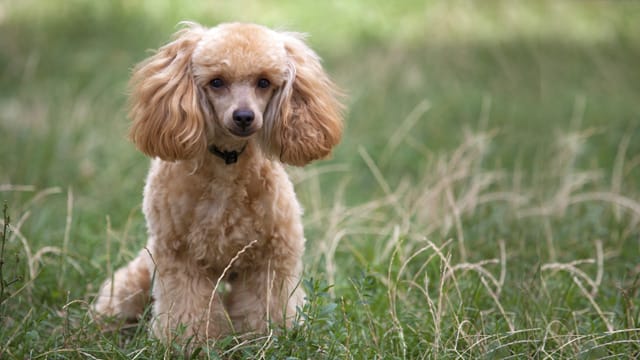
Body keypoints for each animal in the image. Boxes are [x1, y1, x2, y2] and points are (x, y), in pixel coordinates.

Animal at [92, 21, 342, 342]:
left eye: (264, 82)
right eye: (217, 82)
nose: (244, 116)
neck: (227, 162)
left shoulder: (269, 259)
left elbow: (265, 309)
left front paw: (265, 339)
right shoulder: (181, 259)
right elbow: (187, 310)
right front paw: (188, 344)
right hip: (141, 275)